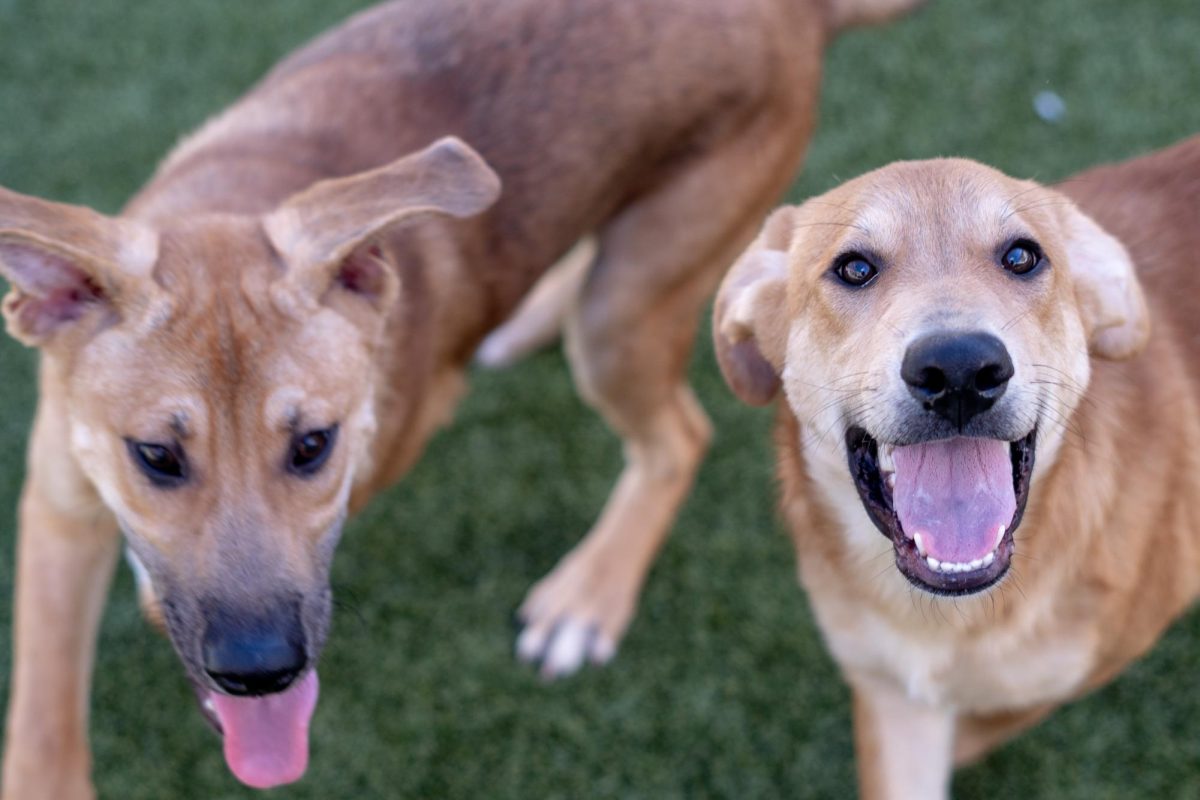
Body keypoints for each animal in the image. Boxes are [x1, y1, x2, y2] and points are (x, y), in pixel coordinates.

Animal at [0, 0, 921, 796]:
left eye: (313, 446)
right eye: (155, 455)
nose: (260, 670)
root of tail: (794, 9)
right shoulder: (56, 501)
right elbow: (43, 714)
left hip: (633, 301)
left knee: (678, 435)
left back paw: (588, 596)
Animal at [710, 136, 1200, 796]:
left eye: (1022, 257)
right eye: (854, 268)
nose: (960, 369)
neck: (948, 617)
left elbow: (987, 720)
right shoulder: (892, 696)